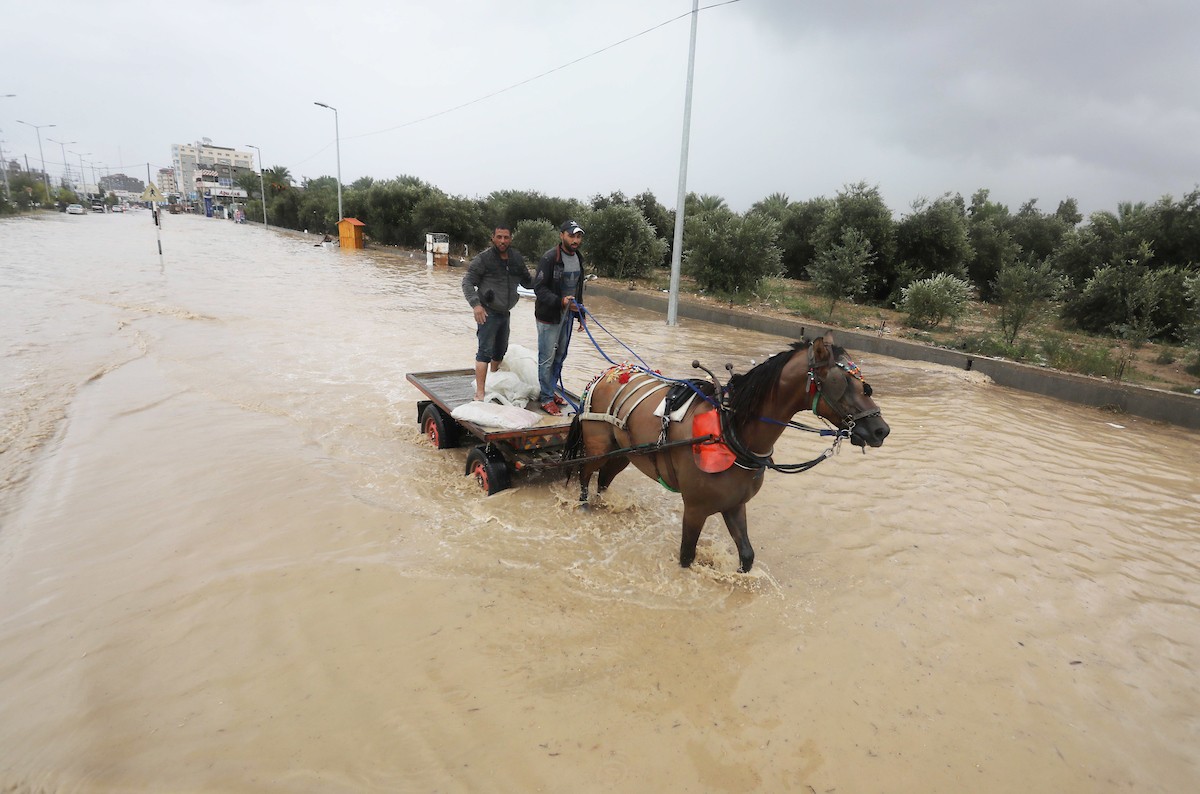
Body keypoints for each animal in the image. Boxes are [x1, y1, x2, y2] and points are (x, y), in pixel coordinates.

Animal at [564, 333, 892, 575]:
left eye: (864, 384)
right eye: (844, 382)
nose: (881, 430)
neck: (730, 431)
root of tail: (608, 372)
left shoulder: (734, 504)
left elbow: (747, 555)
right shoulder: (695, 509)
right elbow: (687, 556)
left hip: (624, 452)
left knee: (604, 479)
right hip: (598, 447)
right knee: (584, 474)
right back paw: (583, 506)